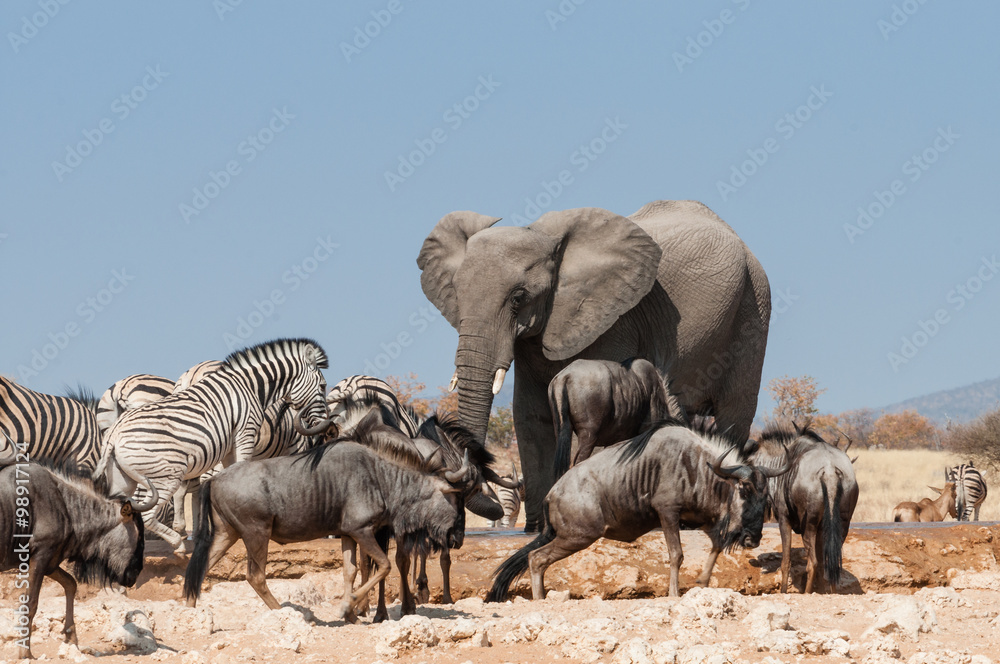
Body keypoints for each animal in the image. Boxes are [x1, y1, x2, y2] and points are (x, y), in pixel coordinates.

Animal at [94, 338, 330, 553]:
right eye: (323, 386)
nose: (326, 424)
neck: (250, 386)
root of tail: (115, 431)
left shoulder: (229, 446)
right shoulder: (246, 432)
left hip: (123, 477)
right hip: (165, 474)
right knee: (147, 513)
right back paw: (178, 545)